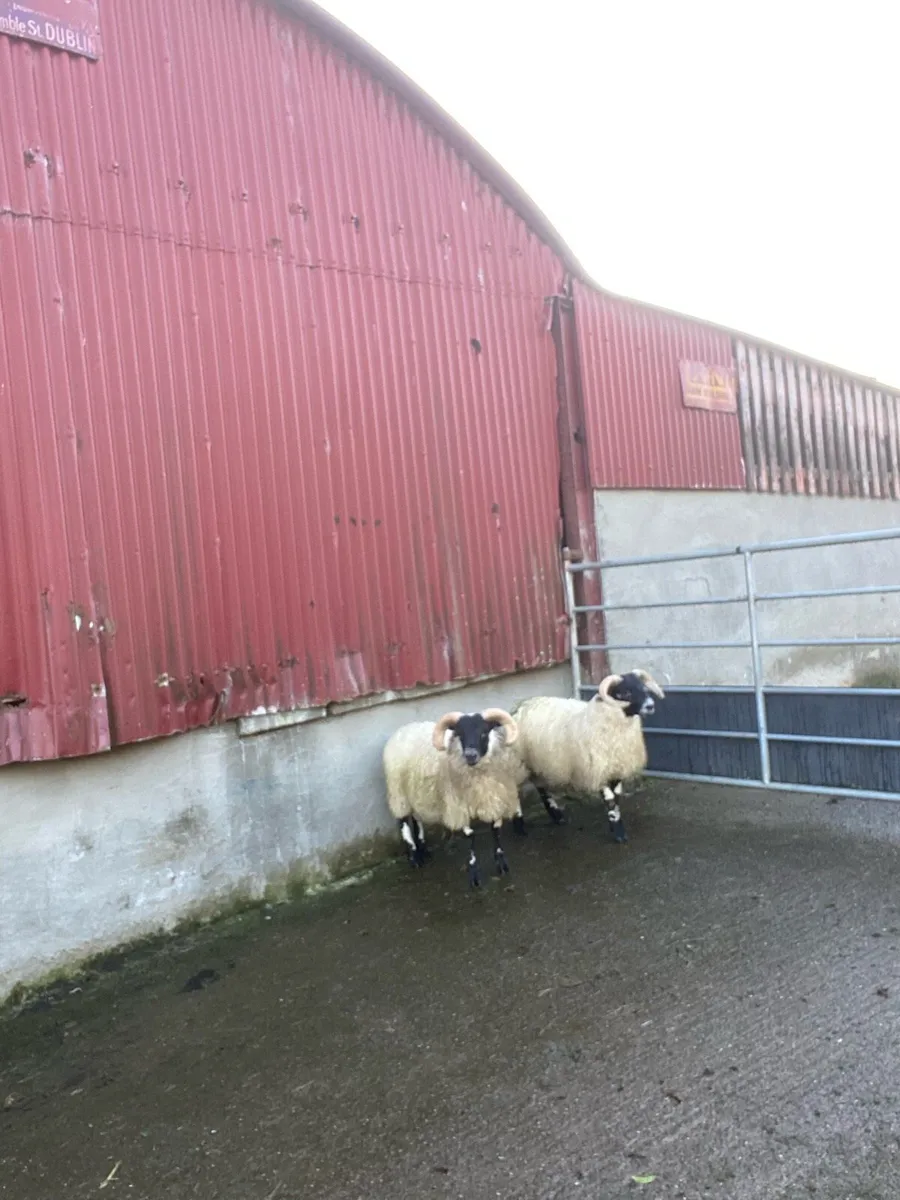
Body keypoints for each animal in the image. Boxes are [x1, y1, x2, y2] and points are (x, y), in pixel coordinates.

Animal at [382, 708, 526, 887]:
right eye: (460, 734)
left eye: (484, 732)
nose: (470, 755)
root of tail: (404, 728)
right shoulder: (458, 807)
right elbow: (470, 837)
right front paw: (474, 876)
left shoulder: (492, 800)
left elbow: (496, 831)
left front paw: (502, 865)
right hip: (398, 793)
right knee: (403, 822)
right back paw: (414, 857)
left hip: (417, 792)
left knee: (416, 818)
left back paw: (424, 850)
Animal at [512, 670, 665, 843]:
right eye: (625, 692)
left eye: (644, 689)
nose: (650, 705)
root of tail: (521, 707)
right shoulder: (598, 770)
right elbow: (610, 799)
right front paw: (619, 832)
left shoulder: (616, 768)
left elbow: (617, 797)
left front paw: (614, 824)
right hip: (516, 763)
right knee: (514, 791)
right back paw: (519, 826)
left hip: (537, 763)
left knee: (541, 788)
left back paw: (557, 816)